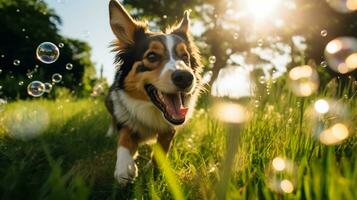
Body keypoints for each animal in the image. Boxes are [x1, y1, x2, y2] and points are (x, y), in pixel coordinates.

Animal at [104, 0, 202, 185]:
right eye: (151, 56)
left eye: (185, 57)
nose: (185, 77)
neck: (151, 109)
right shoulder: (126, 113)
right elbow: (124, 136)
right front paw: (124, 167)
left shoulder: (171, 126)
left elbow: (163, 145)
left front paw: (154, 166)